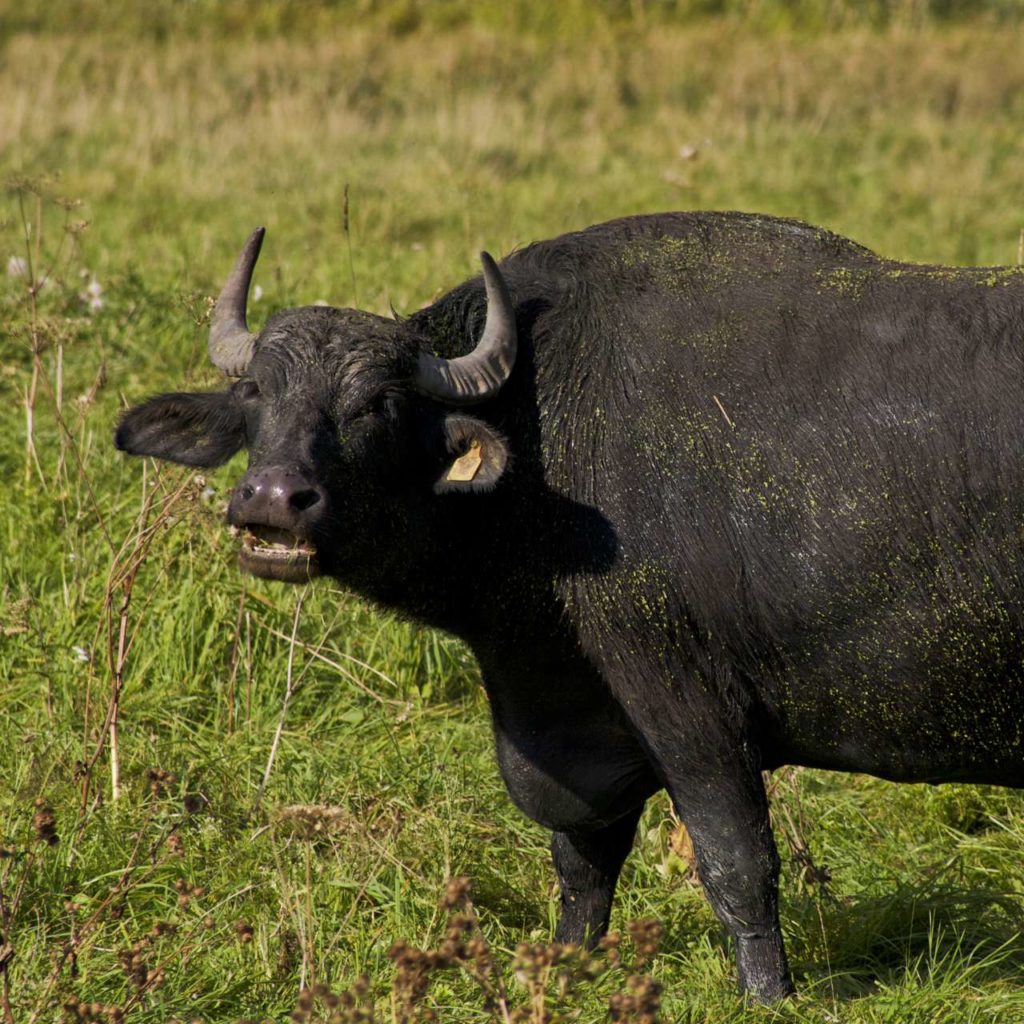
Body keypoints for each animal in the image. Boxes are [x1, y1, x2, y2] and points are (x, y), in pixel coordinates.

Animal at [116, 211, 1024, 1003]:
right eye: (258, 394)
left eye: (379, 404)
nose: (273, 501)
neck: (545, 448)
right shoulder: (577, 719)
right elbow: (583, 861)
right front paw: (565, 969)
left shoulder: (689, 707)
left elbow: (736, 864)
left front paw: (769, 993)